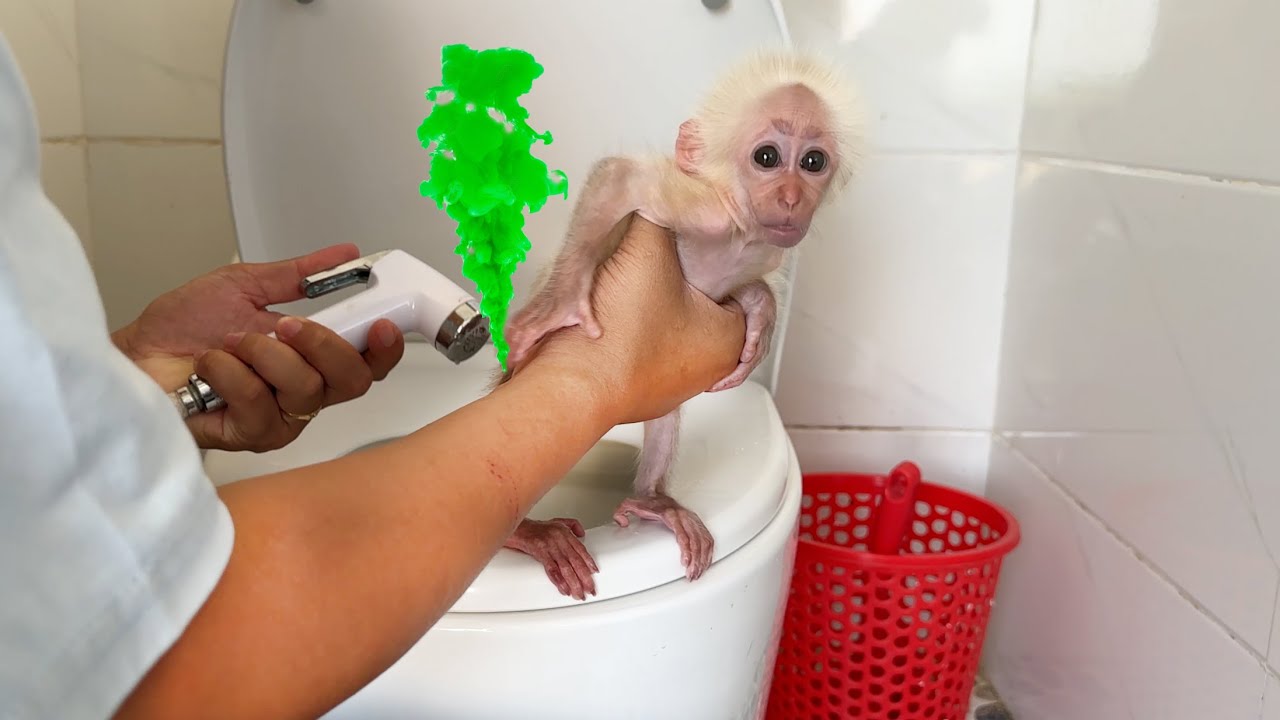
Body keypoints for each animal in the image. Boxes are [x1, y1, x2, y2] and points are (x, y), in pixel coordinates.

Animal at [496, 50, 862, 600]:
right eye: (768, 157)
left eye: (813, 162)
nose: (792, 197)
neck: (742, 236)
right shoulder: (710, 212)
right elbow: (621, 177)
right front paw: (560, 301)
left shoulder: (769, 246)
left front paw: (760, 313)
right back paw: (524, 531)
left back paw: (652, 501)